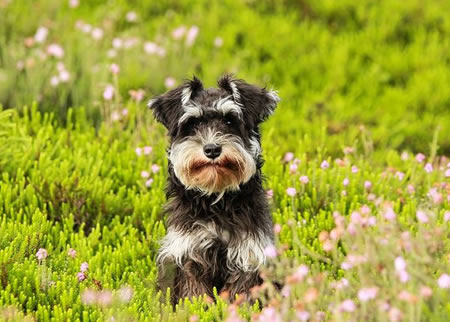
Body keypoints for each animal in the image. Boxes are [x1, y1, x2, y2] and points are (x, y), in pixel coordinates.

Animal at [149, 74, 280, 304]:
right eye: (192, 123)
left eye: (229, 120)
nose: (212, 149)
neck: (216, 200)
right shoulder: (189, 254)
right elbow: (194, 295)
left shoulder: (247, 256)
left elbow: (240, 294)